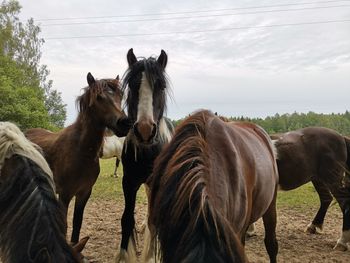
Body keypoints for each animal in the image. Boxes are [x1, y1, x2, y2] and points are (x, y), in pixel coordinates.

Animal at [24, 72, 131, 245]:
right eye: (99, 97)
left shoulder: (84, 193)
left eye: (121, 95)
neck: (81, 151)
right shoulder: (65, 194)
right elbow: (65, 226)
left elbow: (77, 224)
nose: (125, 123)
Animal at [116, 49, 174, 262]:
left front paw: (150, 256)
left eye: (161, 86)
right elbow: (126, 220)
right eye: (132, 86)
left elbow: (153, 221)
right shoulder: (129, 182)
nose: (145, 130)